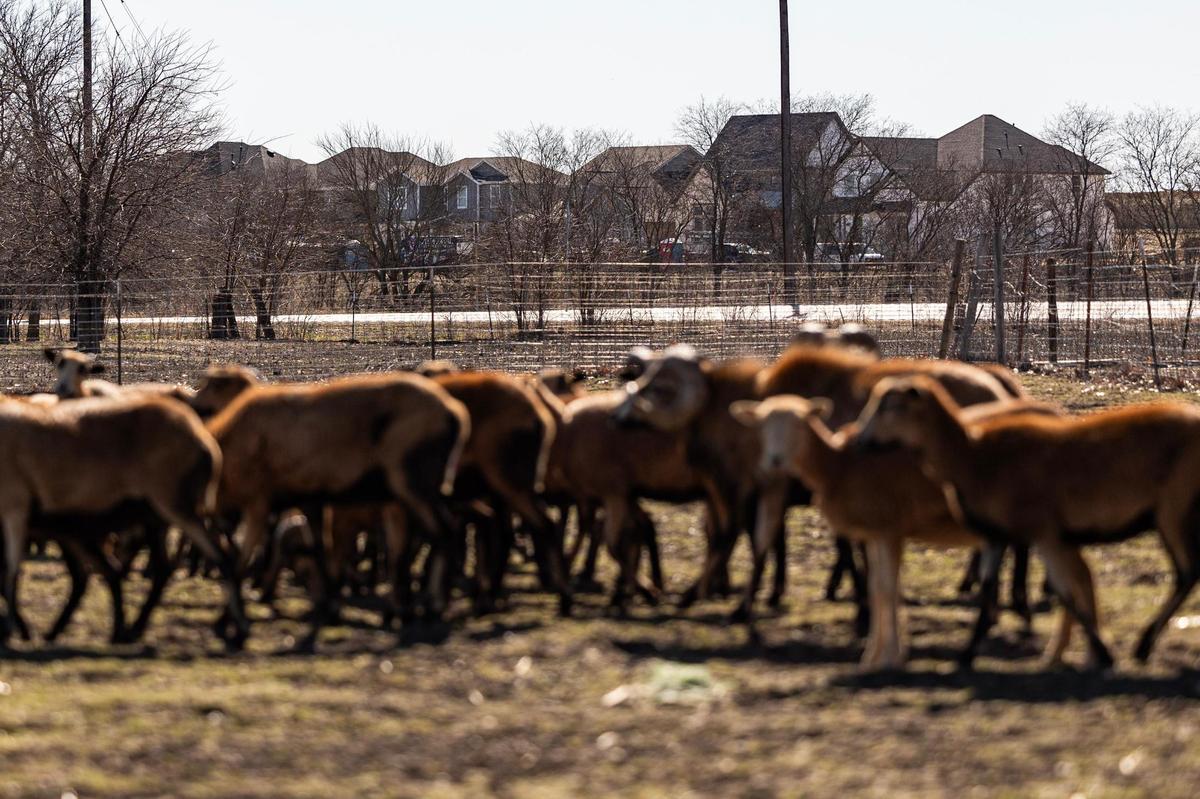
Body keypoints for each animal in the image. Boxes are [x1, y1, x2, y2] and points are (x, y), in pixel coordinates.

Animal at [0, 394, 248, 649]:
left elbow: (11, 572)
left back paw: (237, 630)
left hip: (175, 505)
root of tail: (204, 441)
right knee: (160, 569)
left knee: (221, 557)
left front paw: (12, 631)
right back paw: (131, 629)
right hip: (157, 517)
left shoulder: (15, 507)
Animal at [855, 375, 1200, 669]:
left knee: (1185, 574)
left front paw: (1104, 654)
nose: (859, 440)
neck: (971, 456)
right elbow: (988, 590)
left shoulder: (1044, 532)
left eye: (889, 406)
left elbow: (1063, 591)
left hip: (1172, 507)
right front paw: (967, 654)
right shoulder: (998, 536)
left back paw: (1143, 645)